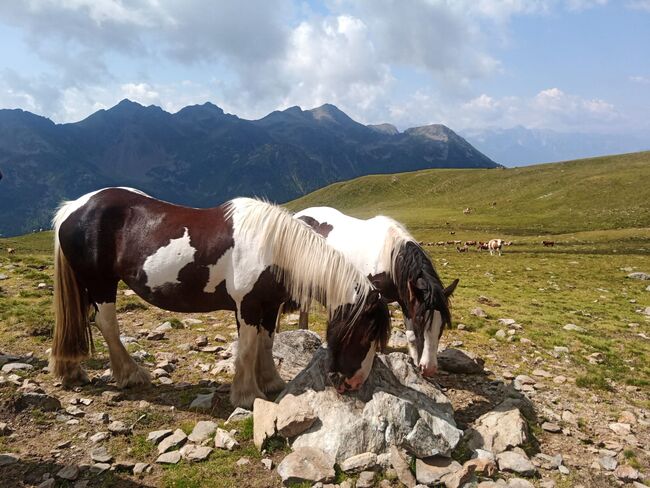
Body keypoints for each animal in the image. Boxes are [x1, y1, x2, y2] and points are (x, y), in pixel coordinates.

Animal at [50, 188, 388, 408]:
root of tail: (73, 208)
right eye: (365, 334)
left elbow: (266, 344)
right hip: (101, 285)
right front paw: (246, 395)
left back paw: (73, 371)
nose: (355, 383)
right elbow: (248, 349)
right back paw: (131, 375)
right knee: (107, 326)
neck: (275, 249)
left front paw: (271, 383)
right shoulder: (247, 306)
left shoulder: (269, 307)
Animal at [292, 206, 456, 378]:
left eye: (443, 324)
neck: (389, 255)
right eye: (420, 320)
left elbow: (411, 336)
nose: (429, 368)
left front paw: (416, 362)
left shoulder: (406, 298)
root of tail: (297, 214)